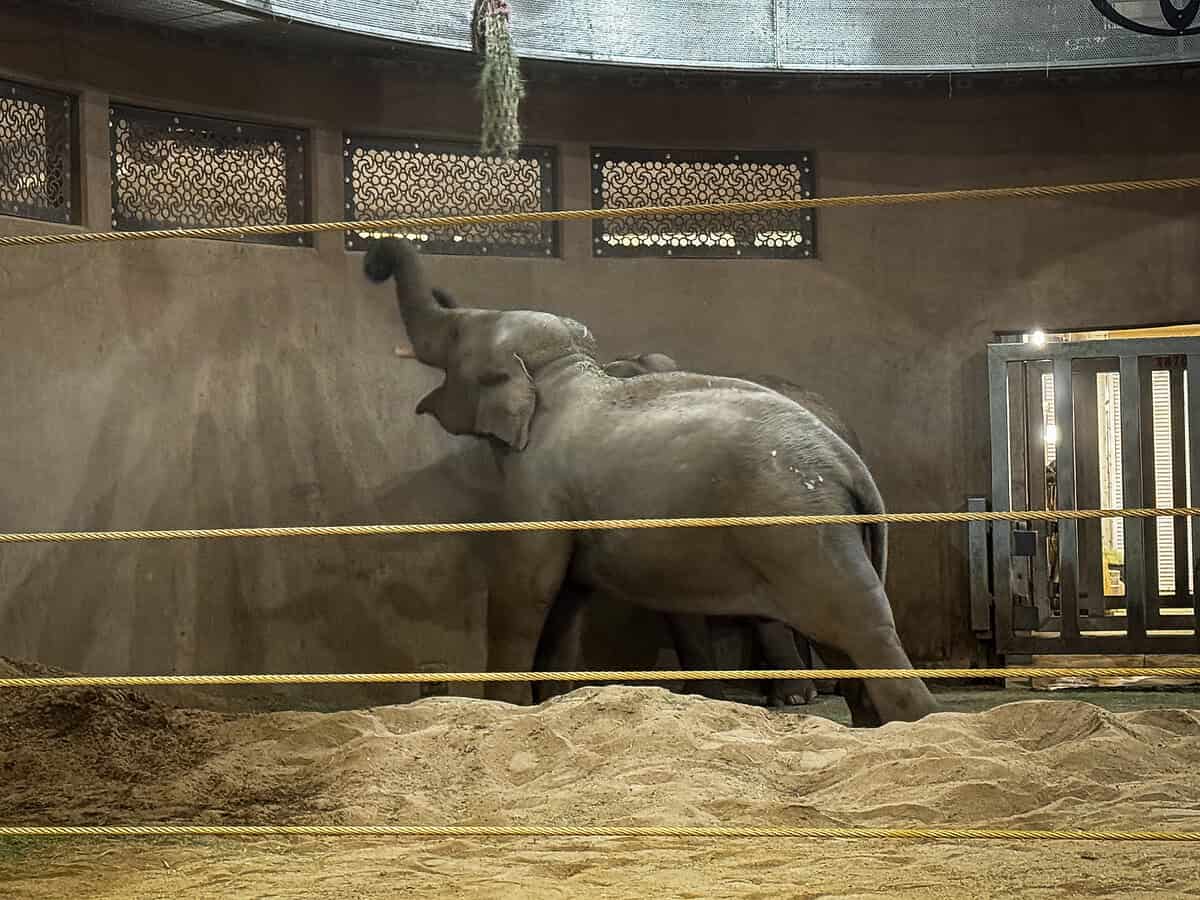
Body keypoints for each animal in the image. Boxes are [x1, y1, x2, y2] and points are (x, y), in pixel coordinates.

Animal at [363, 237, 937, 726]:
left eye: (456, 338)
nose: (372, 262)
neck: (564, 374)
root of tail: (848, 462)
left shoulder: (536, 488)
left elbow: (525, 591)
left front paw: (501, 710)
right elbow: (566, 598)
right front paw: (549, 706)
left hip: (800, 533)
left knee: (863, 632)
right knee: (849, 645)